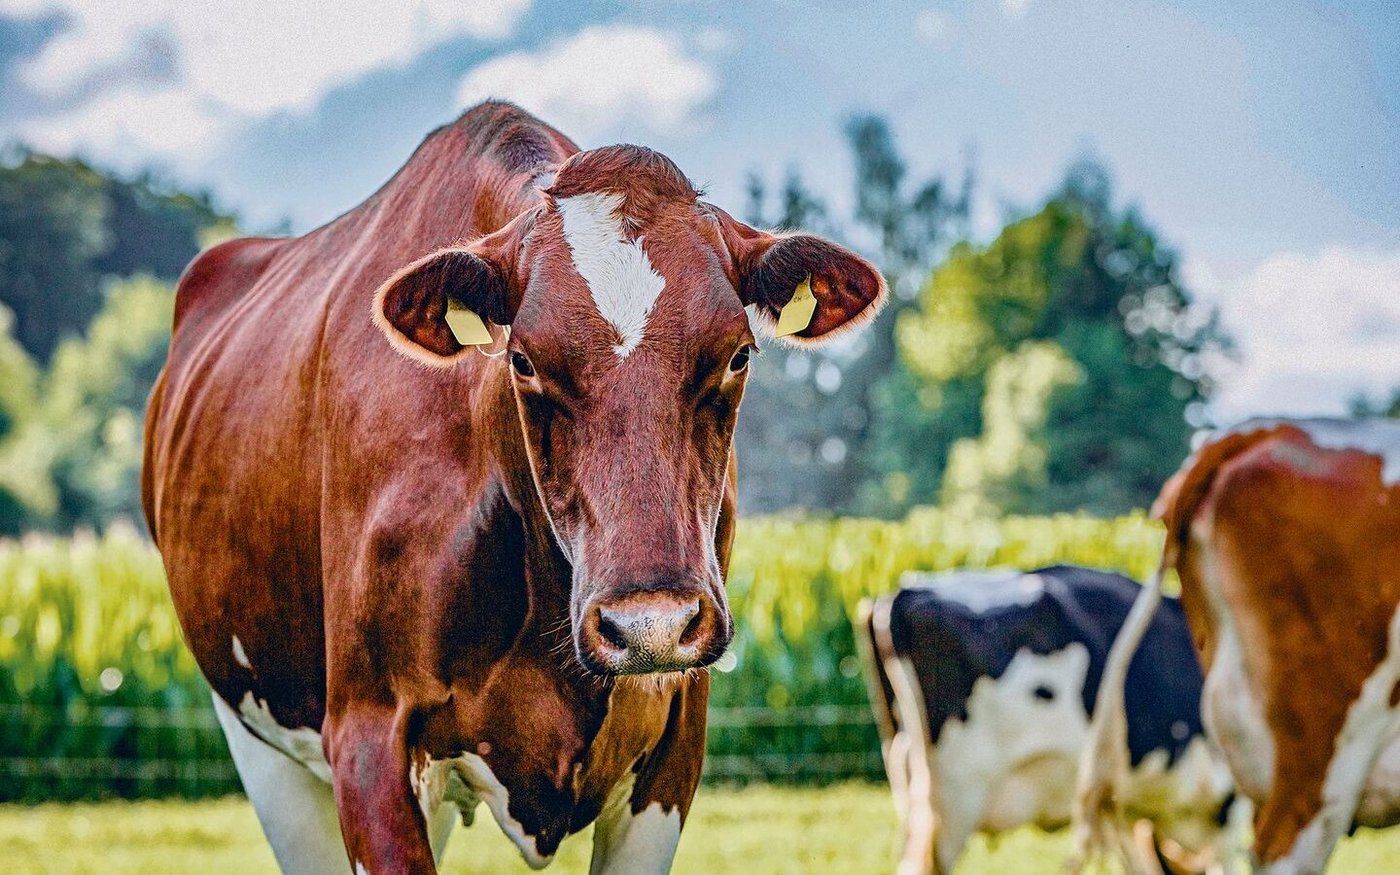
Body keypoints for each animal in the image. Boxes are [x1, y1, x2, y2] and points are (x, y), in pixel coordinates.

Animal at [140, 101, 886, 874]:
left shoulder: (676, 736)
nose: (650, 622)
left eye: (738, 354)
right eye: (523, 360)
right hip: (261, 740)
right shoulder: (367, 736)